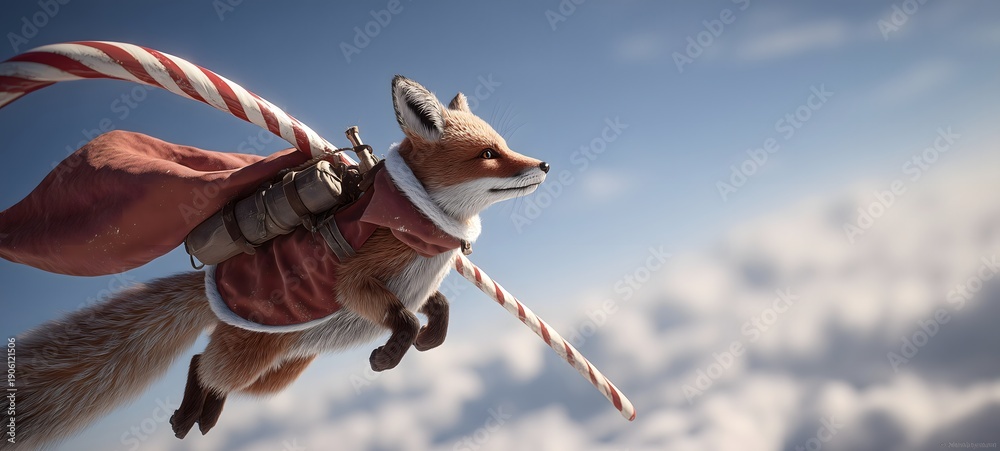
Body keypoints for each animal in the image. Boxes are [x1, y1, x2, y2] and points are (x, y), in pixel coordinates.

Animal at [7, 75, 549, 449]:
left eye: (504, 146)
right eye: (488, 153)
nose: (543, 164)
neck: (416, 221)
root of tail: (211, 287)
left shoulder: (412, 285)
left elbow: (437, 311)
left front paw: (428, 341)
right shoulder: (357, 281)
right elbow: (405, 319)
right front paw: (389, 356)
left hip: (277, 373)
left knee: (212, 375)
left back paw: (203, 419)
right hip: (255, 359)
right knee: (202, 364)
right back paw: (186, 418)